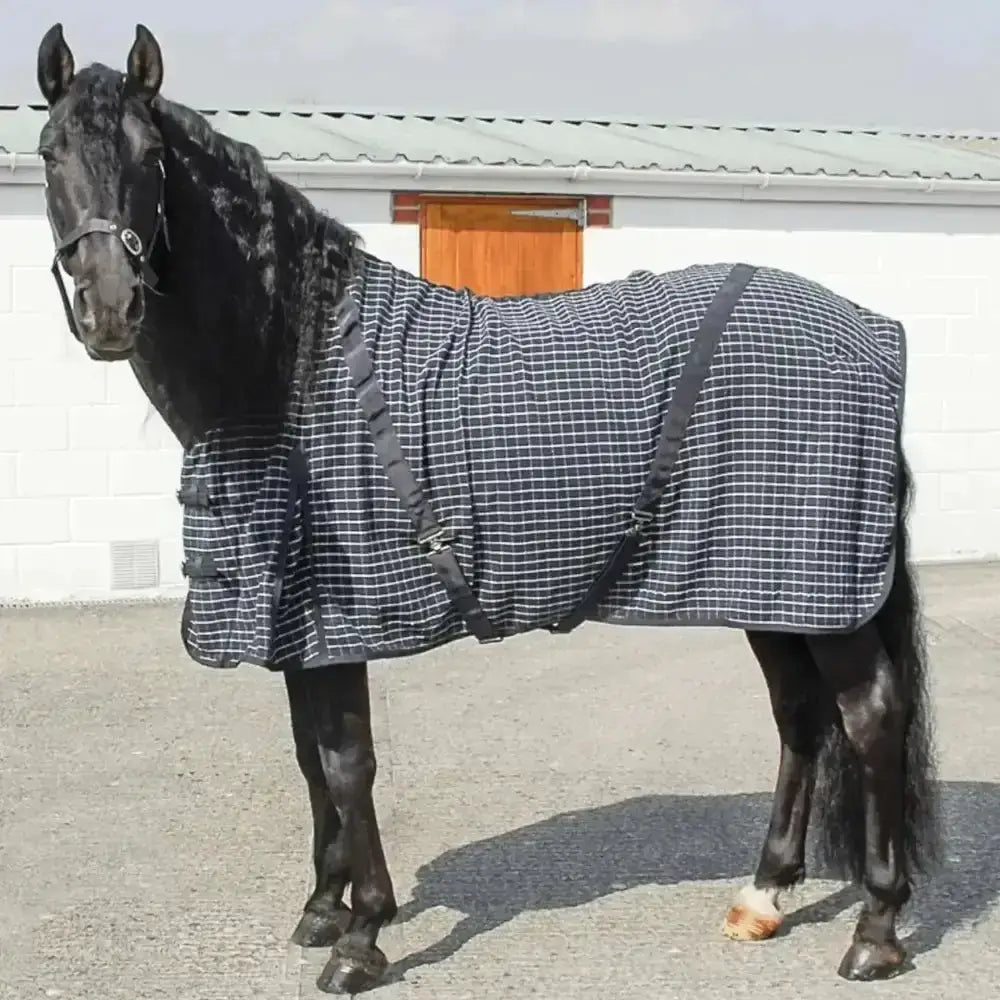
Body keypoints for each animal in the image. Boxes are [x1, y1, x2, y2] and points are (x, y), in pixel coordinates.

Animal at [34, 21, 941, 994]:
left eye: (151, 156)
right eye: (49, 152)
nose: (110, 306)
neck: (292, 367)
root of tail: (873, 335)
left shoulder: (337, 624)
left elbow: (348, 764)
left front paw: (362, 935)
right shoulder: (300, 632)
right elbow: (310, 759)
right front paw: (321, 909)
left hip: (821, 592)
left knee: (872, 716)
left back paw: (877, 929)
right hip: (772, 586)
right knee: (800, 718)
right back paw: (762, 897)